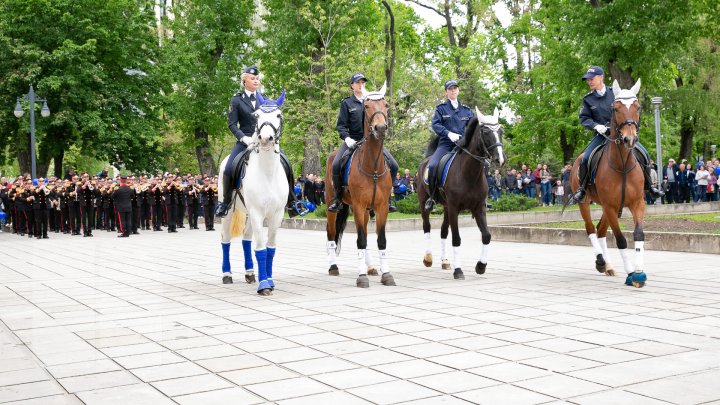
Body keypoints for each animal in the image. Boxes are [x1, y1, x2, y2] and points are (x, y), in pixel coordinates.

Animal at [218, 91, 288, 296]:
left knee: (246, 239)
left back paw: (250, 273)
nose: (265, 138)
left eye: (279, 115)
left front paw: (270, 280)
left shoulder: (276, 214)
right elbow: (261, 249)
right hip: (229, 212)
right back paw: (227, 274)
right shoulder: (257, 212)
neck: (268, 172)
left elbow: (270, 249)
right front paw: (264, 285)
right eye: (256, 116)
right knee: (225, 240)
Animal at [324, 83, 396, 288]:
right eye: (367, 106)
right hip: (332, 206)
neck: (372, 165)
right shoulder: (357, 205)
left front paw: (386, 274)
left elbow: (381, 240)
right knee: (331, 234)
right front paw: (361, 276)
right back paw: (333, 267)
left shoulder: (380, 207)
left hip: (365, 210)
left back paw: (370, 266)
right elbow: (361, 240)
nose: (380, 128)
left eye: (385, 105)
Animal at [416, 106, 506, 278]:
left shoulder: (478, 208)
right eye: (485, 132)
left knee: (443, 231)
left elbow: (486, 236)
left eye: (500, 131)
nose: (500, 160)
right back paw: (428, 258)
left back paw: (445, 261)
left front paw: (481, 266)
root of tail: (426, 160)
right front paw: (458, 270)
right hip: (425, 203)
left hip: (446, 207)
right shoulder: (454, 208)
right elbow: (456, 239)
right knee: (426, 227)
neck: (469, 173)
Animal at [572, 79, 648, 288]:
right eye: (616, 108)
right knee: (591, 229)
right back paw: (600, 262)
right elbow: (621, 240)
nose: (629, 138)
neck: (622, 165)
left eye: (638, 106)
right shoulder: (611, 206)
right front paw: (631, 274)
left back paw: (608, 265)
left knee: (600, 230)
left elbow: (638, 235)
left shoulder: (637, 203)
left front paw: (639, 271)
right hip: (587, 203)